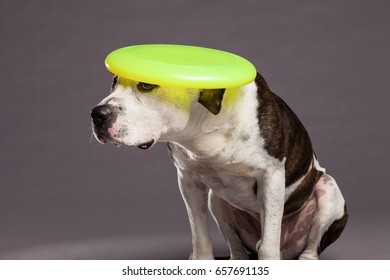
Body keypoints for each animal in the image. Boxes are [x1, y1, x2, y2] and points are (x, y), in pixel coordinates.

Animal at [90, 72, 348, 260]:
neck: (201, 124)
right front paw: (201, 260)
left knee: (307, 247)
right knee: (237, 247)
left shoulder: (271, 176)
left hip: (328, 191)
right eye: (114, 82)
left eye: (146, 85)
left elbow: (269, 241)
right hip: (218, 200)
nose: (97, 114)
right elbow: (199, 232)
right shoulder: (188, 179)